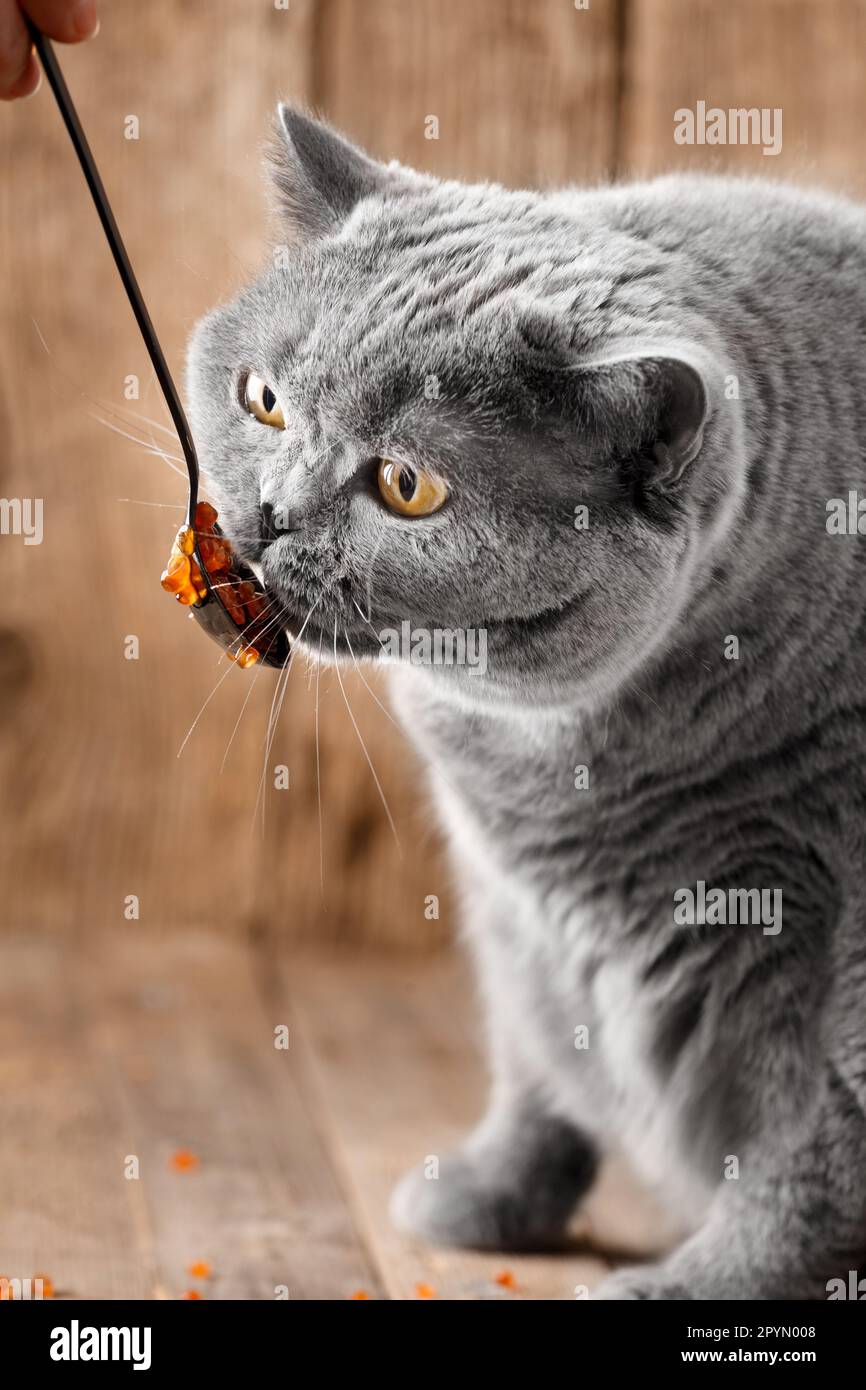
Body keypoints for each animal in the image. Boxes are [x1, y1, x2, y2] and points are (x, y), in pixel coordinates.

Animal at [186, 111, 866, 1301]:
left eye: (407, 486)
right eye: (262, 399)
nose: (268, 516)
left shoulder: (827, 928)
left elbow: (805, 1148)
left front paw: (695, 1284)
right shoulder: (515, 917)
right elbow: (538, 1068)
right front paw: (482, 1198)